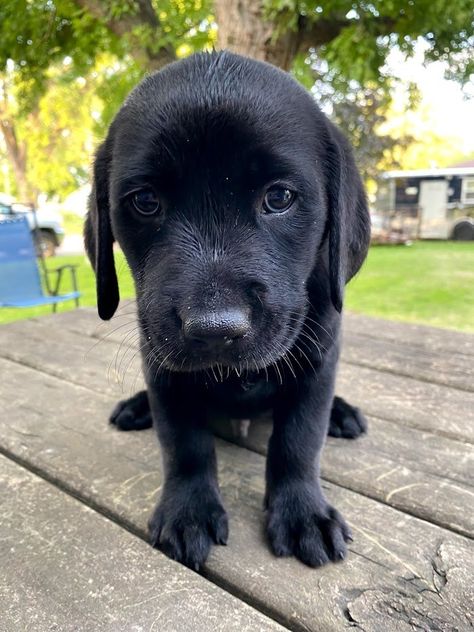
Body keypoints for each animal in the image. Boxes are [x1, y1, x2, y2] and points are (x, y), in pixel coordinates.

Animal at [87, 51, 372, 572]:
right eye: (145, 202)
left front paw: (302, 512)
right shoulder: (163, 369)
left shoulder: (319, 359)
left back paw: (342, 414)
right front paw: (188, 510)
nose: (215, 329)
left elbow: (298, 440)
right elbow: (184, 443)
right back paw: (137, 406)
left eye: (279, 197)